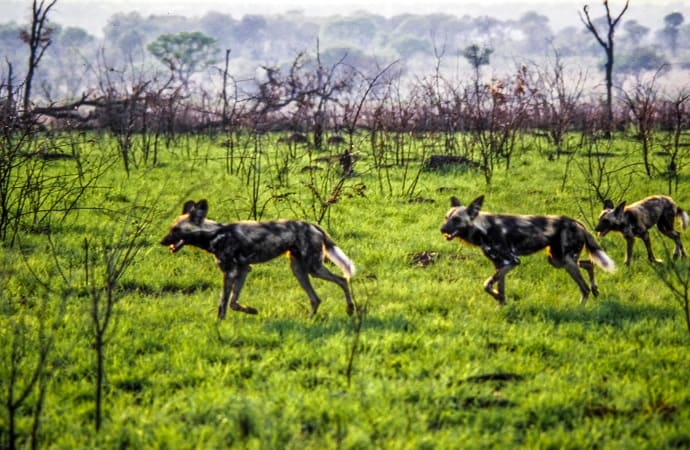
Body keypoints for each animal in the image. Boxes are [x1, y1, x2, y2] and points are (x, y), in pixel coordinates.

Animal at [161, 199, 354, 318]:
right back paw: (310, 318)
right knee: (316, 298)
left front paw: (219, 323)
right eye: (170, 228)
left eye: (176, 230)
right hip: (299, 270)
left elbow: (223, 302)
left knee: (342, 280)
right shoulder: (243, 270)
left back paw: (350, 309)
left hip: (313, 268)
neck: (215, 234)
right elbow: (233, 302)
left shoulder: (231, 272)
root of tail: (313, 225)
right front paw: (251, 310)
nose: (162, 241)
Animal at [440, 194, 612, 304]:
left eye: (456, 219)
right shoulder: (501, 265)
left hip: (566, 261)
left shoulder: (512, 261)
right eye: (446, 217)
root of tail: (577, 222)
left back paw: (579, 309)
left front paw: (498, 299)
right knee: (589, 264)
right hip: (557, 260)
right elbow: (499, 289)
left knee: (584, 289)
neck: (483, 229)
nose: (442, 229)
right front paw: (502, 305)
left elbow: (487, 284)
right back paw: (595, 288)